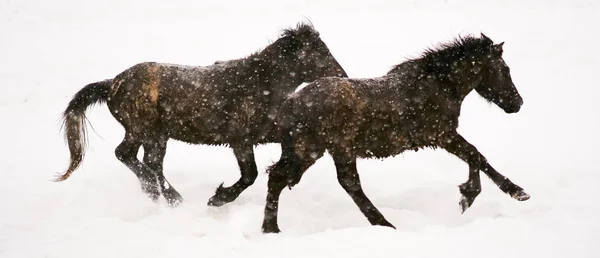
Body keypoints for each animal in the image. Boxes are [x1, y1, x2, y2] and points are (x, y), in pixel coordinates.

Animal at [55, 22, 350, 208]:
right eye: (320, 52)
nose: (343, 76)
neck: (258, 83)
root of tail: (112, 84)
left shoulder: (267, 133)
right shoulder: (240, 140)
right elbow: (250, 175)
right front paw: (218, 198)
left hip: (154, 135)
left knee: (146, 161)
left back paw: (160, 195)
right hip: (144, 130)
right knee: (128, 156)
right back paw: (170, 197)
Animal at [262, 33, 528, 233]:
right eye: (505, 69)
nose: (517, 103)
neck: (439, 85)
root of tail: (290, 103)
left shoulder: (444, 136)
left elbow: (479, 158)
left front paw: (507, 192)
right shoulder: (442, 135)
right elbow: (475, 155)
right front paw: (473, 196)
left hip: (314, 151)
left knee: (280, 177)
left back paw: (271, 228)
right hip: (332, 149)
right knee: (346, 183)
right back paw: (384, 224)